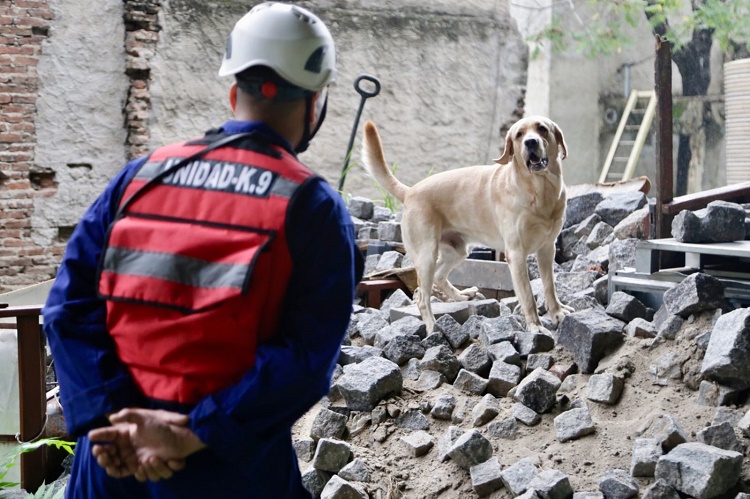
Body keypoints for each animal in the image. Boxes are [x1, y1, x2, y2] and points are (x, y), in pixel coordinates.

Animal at [364, 116, 576, 334]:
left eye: (542, 129)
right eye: (519, 134)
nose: (531, 142)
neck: (539, 191)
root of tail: (410, 191)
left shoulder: (547, 249)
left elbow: (550, 287)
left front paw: (557, 313)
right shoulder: (516, 254)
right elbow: (527, 296)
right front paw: (535, 326)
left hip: (457, 251)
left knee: (439, 277)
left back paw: (461, 296)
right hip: (427, 254)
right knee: (423, 298)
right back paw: (433, 327)